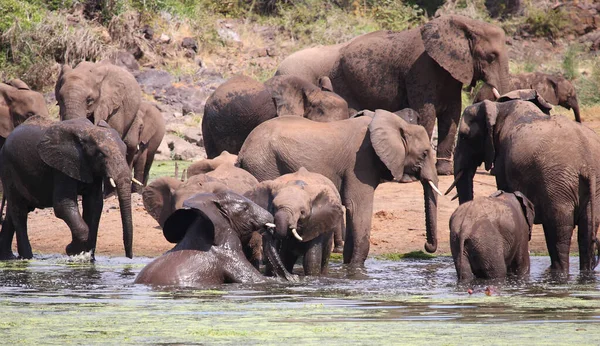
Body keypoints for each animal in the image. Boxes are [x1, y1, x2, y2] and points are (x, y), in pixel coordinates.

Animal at [0, 116, 132, 260]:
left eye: (126, 151)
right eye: (101, 154)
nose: (129, 257)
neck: (88, 132)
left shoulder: (91, 168)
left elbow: (94, 205)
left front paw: (85, 258)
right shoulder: (61, 166)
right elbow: (63, 205)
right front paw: (72, 251)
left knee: (12, 212)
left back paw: (8, 258)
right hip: (8, 169)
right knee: (19, 211)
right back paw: (26, 258)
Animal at [237, 109, 438, 266]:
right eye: (424, 153)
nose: (427, 247)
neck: (397, 124)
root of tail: (242, 151)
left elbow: (351, 209)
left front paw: (348, 265)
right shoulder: (360, 162)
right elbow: (357, 206)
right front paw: (356, 268)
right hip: (264, 165)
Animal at [274, 14, 508, 174]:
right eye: (491, 56)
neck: (465, 24)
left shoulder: (451, 72)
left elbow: (452, 114)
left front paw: (444, 171)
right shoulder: (421, 69)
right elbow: (427, 112)